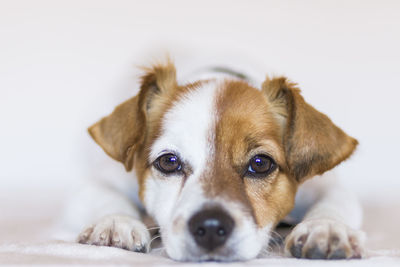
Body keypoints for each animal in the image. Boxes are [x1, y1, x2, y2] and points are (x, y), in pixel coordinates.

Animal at [76, 60, 366, 262]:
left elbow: (334, 201)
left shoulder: (324, 185)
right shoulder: (100, 182)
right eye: (169, 161)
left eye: (260, 163)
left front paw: (326, 228)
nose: (211, 226)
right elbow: (107, 196)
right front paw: (115, 222)